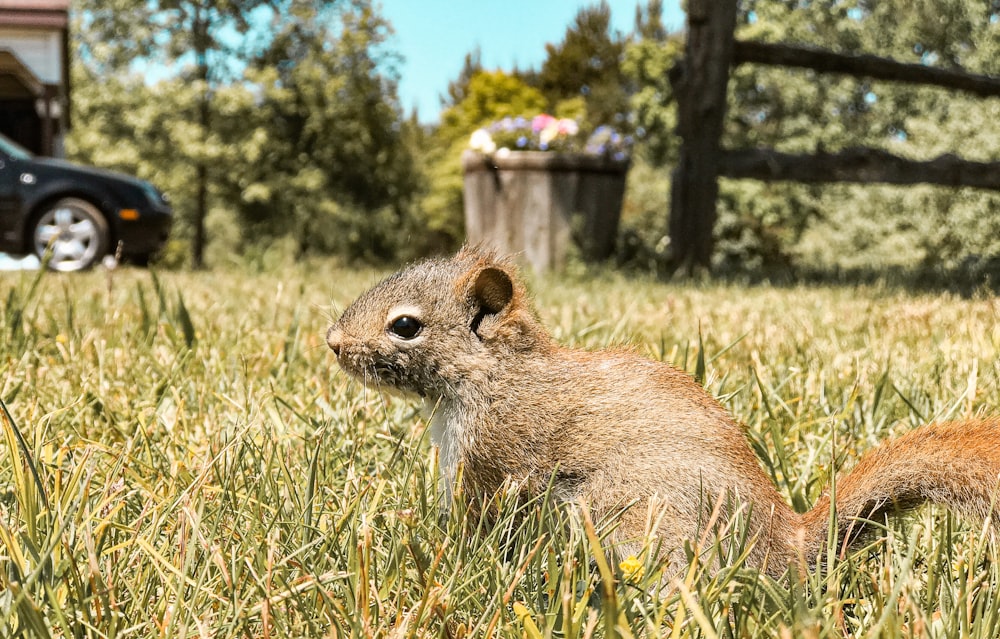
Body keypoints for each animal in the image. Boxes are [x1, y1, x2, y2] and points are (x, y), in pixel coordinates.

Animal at [326, 245, 1000, 576]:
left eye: (405, 326)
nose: (332, 343)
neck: (493, 375)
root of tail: (788, 546)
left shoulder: (492, 456)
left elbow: (474, 523)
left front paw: (439, 547)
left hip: (635, 513)